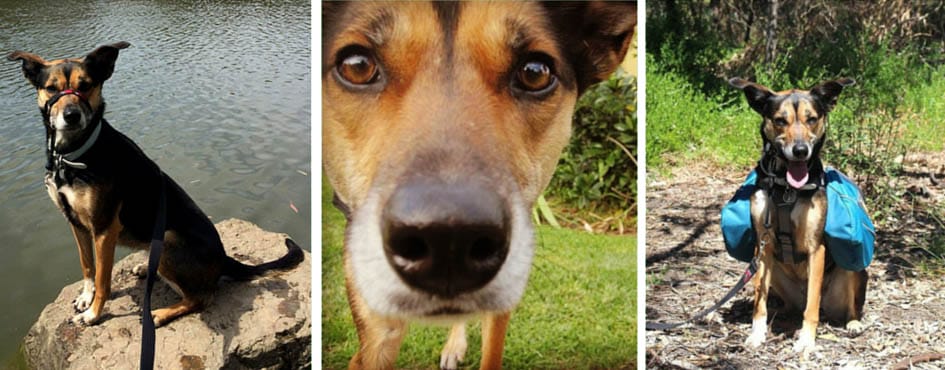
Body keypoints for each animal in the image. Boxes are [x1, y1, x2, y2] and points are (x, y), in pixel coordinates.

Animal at [7, 42, 302, 326]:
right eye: (51, 88)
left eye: (86, 85)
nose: (71, 115)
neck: (74, 155)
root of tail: (224, 258)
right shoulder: (76, 223)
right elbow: (87, 266)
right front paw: (86, 298)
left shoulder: (104, 228)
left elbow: (103, 278)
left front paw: (93, 314)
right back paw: (145, 269)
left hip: (168, 239)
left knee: (201, 298)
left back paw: (160, 313)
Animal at [728, 77, 872, 356]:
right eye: (780, 120)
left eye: (812, 119)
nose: (800, 150)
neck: (786, 187)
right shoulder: (763, 246)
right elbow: (759, 302)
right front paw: (756, 334)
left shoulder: (817, 248)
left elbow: (811, 306)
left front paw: (806, 340)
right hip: (775, 273)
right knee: (784, 302)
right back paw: (780, 312)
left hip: (853, 270)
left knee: (843, 304)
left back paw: (853, 323)